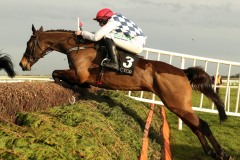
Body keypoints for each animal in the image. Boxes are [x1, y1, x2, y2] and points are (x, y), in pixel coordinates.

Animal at [19, 24, 232, 159]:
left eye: (29, 44)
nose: (22, 64)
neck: (78, 47)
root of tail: (183, 72)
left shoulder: (80, 75)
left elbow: (57, 74)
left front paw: (74, 87)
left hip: (176, 103)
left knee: (202, 124)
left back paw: (222, 153)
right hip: (177, 105)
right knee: (195, 126)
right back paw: (210, 152)